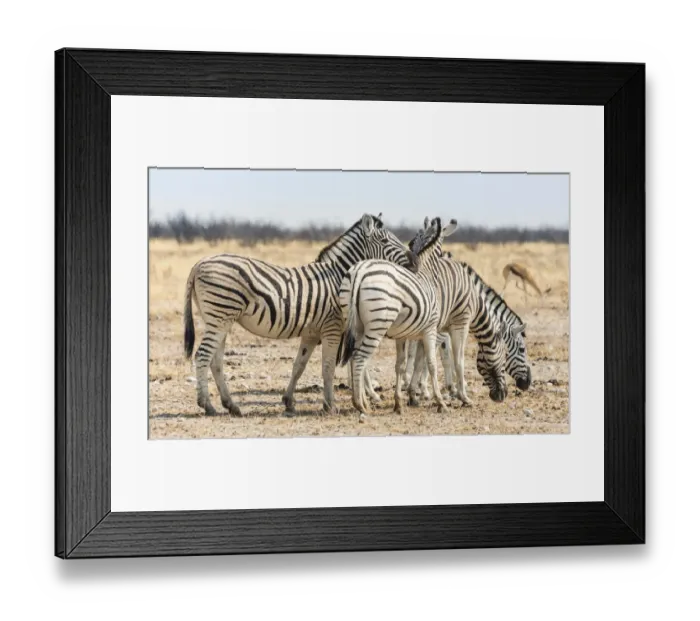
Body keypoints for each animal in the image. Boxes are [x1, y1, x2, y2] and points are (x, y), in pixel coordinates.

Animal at [183, 213, 417, 416]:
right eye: (386, 240)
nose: (415, 261)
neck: (340, 276)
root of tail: (198, 264)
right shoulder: (332, 328)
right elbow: (328, 367)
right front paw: (330, 406)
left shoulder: (311, 333)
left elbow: (299, 366)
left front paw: (288, 401)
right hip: (220, 314)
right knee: (202, 356)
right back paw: (207, 406)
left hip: (220, 320)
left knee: (215, 361)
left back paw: (231, 405)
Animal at [337, 217, 509, 416]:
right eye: (505, 357)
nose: (502, 395)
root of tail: (359, 271)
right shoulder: (457, 324)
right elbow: (450, 361)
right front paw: (456, 398)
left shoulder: (414, 331)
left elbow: (409, 363)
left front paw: (406, 399)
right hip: (377, 326)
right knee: (359, 359)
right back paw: (360, 404)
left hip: (357, 325)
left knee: (355, 358)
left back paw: (364, 399)